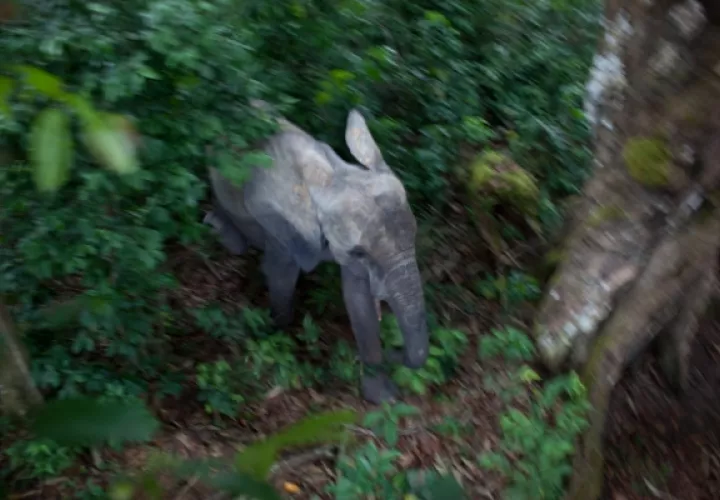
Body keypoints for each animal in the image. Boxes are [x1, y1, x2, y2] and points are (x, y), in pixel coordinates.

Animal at [203, 104, 429, 404]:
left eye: (414, 237)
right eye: (360, 252)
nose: (394, 352)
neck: (331, 176)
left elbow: (357, 297)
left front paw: (381, 397)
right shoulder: (282, 225)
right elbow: (281, 275)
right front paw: (277, 333)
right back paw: (215, 224)